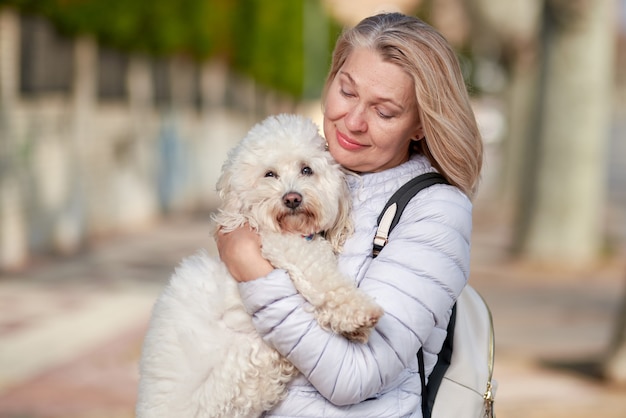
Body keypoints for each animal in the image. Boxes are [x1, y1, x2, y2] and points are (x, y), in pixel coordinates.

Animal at [134, 114, 382, 418]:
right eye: (269, 174)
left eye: (307, 170)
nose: (292, 198)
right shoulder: (289, 250)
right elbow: (326, 281)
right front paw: (360, 314)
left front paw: (353, 328)